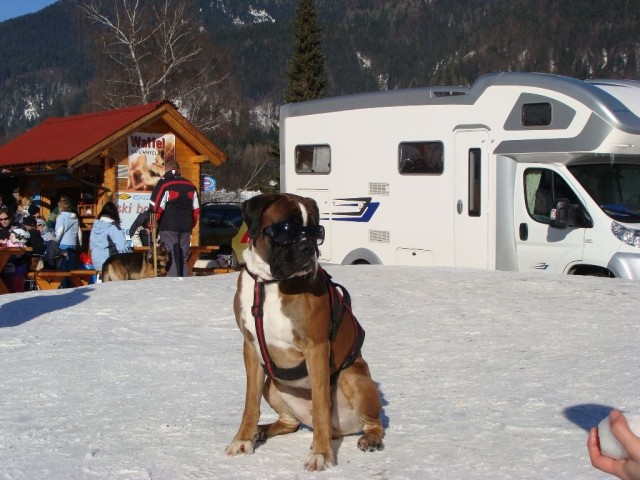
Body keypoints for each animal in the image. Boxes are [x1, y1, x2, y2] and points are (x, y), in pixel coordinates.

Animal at [226, 193, 384, 470]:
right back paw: (261, 430)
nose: (308, 247)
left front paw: (321, 454)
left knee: (374, 422)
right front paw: (243, 439)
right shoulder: (250, 348)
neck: (270, 283)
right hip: (272, 384)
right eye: (286, 230)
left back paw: (370, 438)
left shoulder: (317, 349)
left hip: (352, 378)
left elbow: (321, 407)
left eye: (315, 232)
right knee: (290, 423)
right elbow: (250, 402)